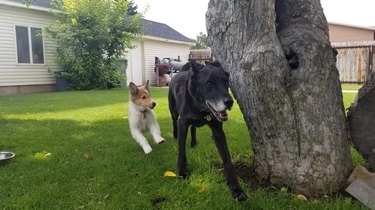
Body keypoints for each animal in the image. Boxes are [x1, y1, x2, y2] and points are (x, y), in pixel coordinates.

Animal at [170, 60, 247, 200]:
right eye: (210, 83)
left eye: (225, 82)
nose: (229, 102)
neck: (201, 109)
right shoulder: (183, 124)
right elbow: (181, 151)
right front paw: (182, 172)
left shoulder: (218, 132)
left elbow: (227, 160)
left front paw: (236, 189)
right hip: (173, 111)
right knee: (174, 122)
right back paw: (175, 135)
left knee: (194, 128)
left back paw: (193, 143)